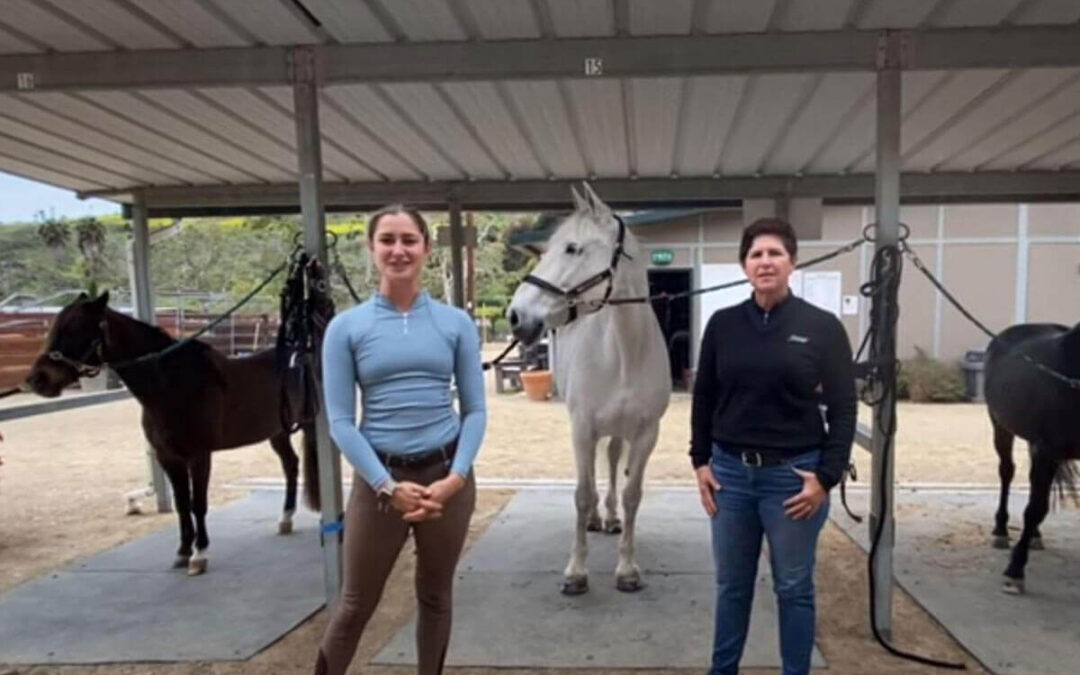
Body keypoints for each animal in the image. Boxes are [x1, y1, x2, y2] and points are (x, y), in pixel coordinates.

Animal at [25, 291, 320, 576]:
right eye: (55, 326)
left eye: (75, 328)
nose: (37, 380)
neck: (172, 385)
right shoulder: (168, 457)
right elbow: (181, 504)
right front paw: (182, 552)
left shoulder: (199, 456)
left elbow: (198, 503)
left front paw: (199, 556)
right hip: (278, 433)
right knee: (291, 466)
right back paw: (285, 519)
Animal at [508, 184, 671, 594]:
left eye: (572, 248)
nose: (516, 317)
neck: (625, 351)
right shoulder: (582, 428)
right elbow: (581, 496)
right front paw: (576, 571)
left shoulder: (646, 433)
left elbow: (632, 495)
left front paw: (627, 569)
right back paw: (599, 517)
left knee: (611, 459)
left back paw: (610, 517)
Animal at [984, 321, 1080, 594]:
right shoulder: (1047, 450)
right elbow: (1035, 508)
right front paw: (1015, 571)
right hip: (1001, 427)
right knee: (1007, 472)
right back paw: (1001, 531)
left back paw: (1035, 535)